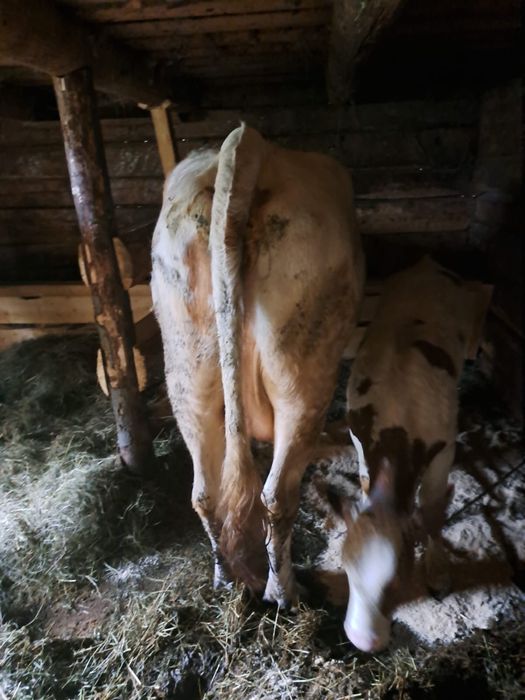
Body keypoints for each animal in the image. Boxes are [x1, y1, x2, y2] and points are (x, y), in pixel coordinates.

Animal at [151, 124, 364, 605]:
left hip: (187, 368)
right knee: (275, 497)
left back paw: (225, 581)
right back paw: (283, 593)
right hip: (302, 373)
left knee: (205, 493)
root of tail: (249, 142)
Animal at [334, 257, 489, 652]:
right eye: (346, 568)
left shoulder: (443, 449)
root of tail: (426, 263)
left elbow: (433, 508)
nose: (361, 639)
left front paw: (438, 569)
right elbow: (363, 481)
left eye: (397, 580)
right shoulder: (361, 440)